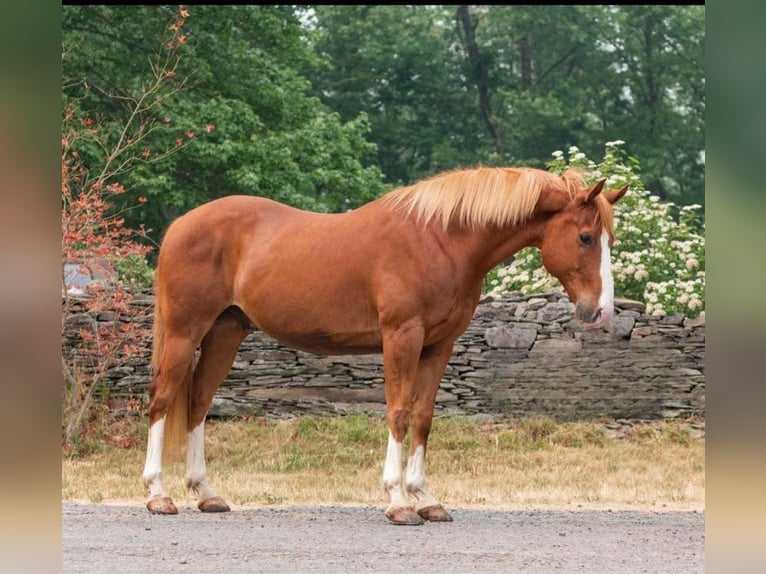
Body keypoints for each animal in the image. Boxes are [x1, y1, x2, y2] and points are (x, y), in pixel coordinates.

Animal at [141, 168, 628, 528]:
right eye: (585, 237)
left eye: (609, 240)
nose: (601, 312)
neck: (440, 240)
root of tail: (181, 225)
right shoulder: (401, 337)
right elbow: (397, 412)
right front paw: (397, 500)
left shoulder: (439, 346)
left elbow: (423, 417)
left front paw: (426, 498)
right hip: (185, 332)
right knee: (163, 400)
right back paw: (158, 494)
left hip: (225, 332)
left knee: (198, 403)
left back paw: (206, 493)